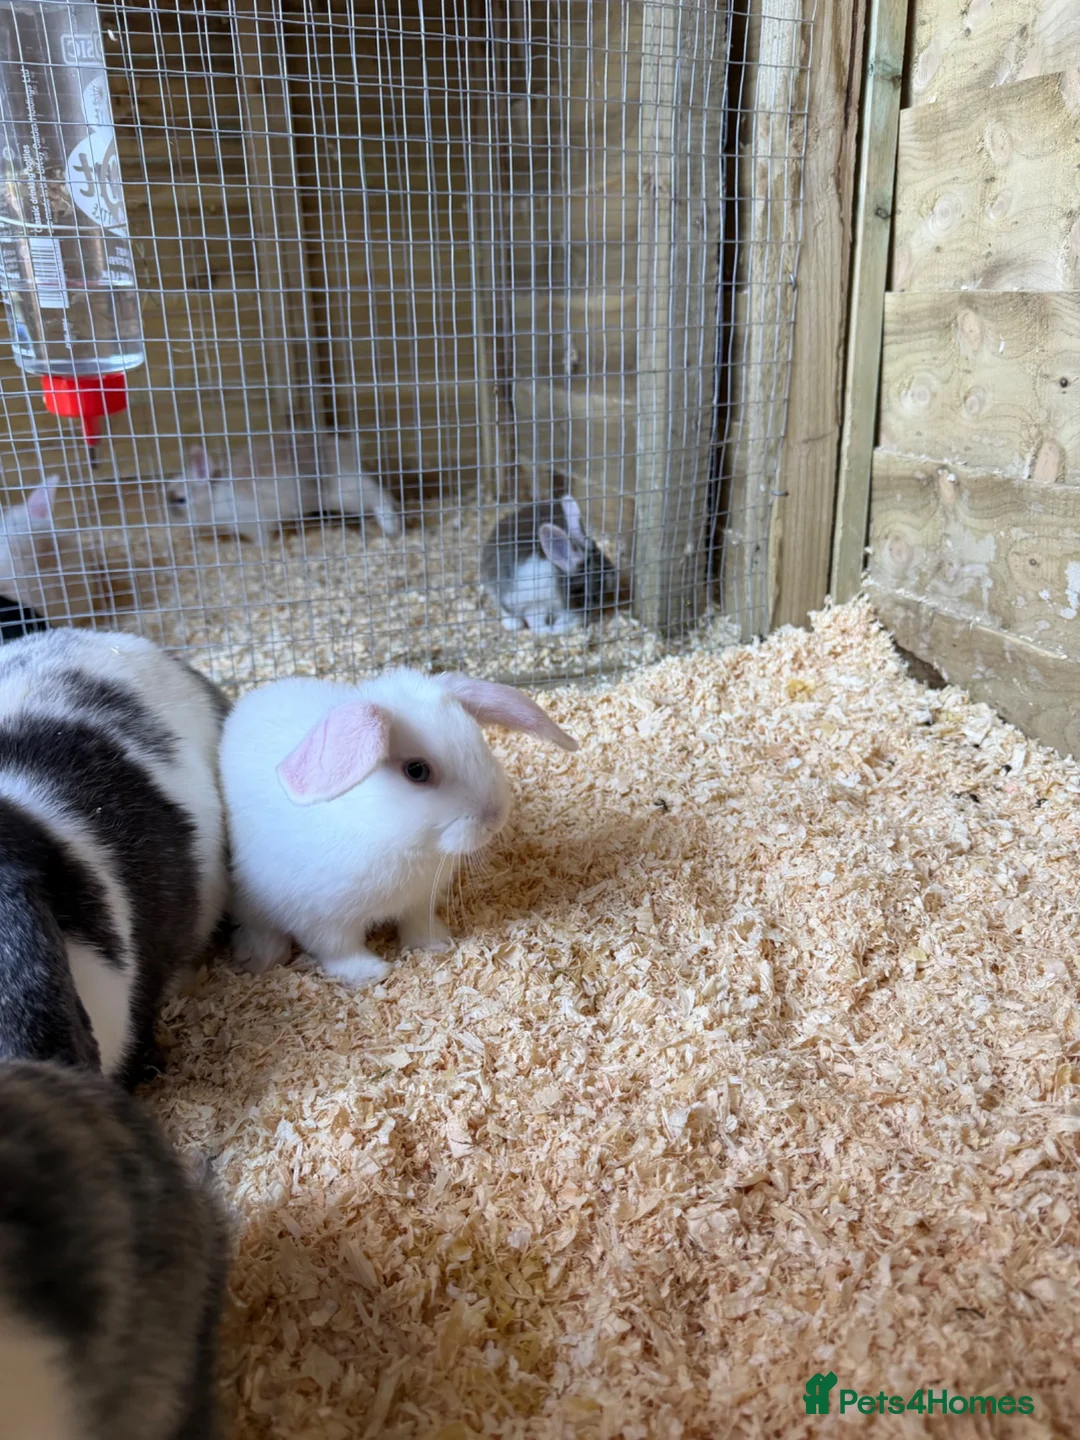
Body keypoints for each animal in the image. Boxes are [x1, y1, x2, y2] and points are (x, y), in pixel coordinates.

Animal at [164, 432, 401, 548]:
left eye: (180, 500)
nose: (169, 519)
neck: (214, 496)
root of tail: (350, 449)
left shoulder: (253, 525)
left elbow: (263, 542)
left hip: (346, 494)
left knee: (381, 497)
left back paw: (391, 527)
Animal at [220, 668, 578, 987]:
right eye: (416, 771)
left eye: (480, 742)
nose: (495, 816)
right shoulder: (322, 919)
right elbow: (339, 950)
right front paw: (369, 974)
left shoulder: (418, 901)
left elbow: (418, 924)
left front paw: (436, 943)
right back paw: (260, 955)